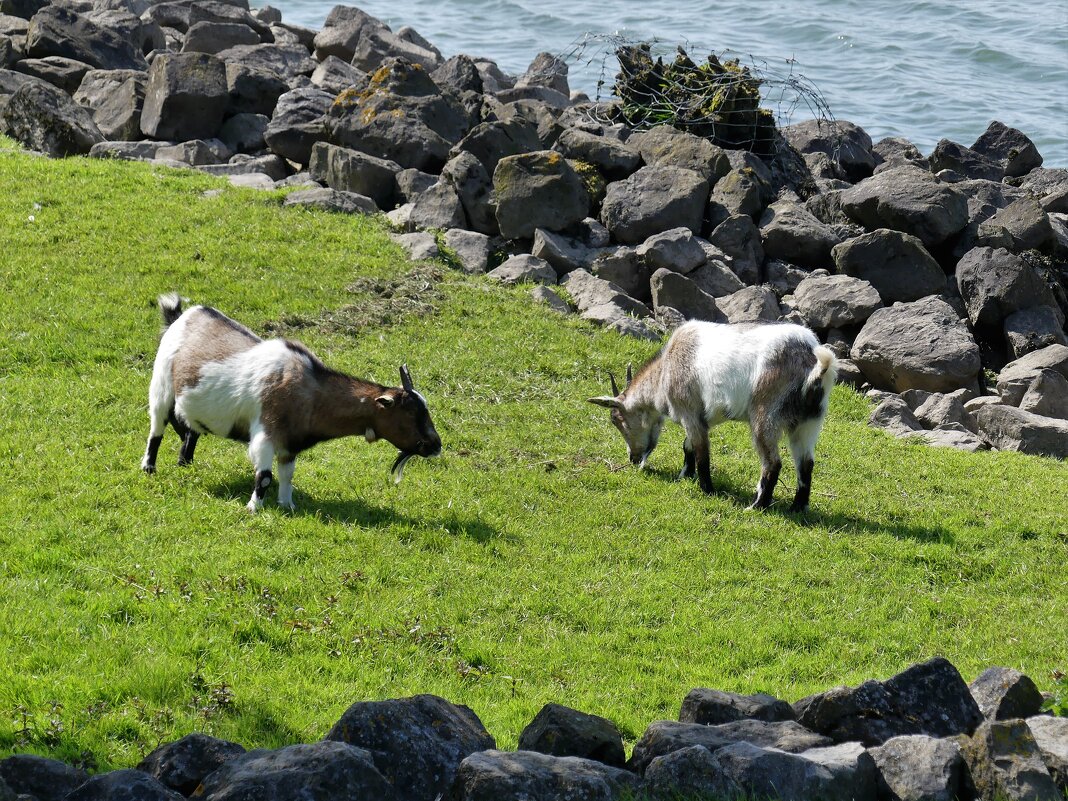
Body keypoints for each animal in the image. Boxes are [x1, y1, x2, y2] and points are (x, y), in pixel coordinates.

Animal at [143, 294, 442, 514]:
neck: (310, 390)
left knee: (188, 430)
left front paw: (287, 505)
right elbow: (264, 476)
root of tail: (182, 316)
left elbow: (287, 475)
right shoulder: (265, 435)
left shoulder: (290, 443)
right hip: (161, 386)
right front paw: (253, 508)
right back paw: (149, 468)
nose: (436, 445)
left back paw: (185, 462)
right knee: (157, 428)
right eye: (410, 414)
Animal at [589, 322, 837, 514]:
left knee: (772, 462)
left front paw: (707, 489)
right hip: (809, 422)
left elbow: (701, 452)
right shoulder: (704, 417)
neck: (664, 373)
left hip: (765, 415)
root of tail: (814, 365)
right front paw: (684, 475)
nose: (632, 458)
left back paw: (756, 506)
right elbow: (688, 445)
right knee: (805, 463)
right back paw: (797, 507)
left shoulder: (690, 412)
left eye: (617, 421)